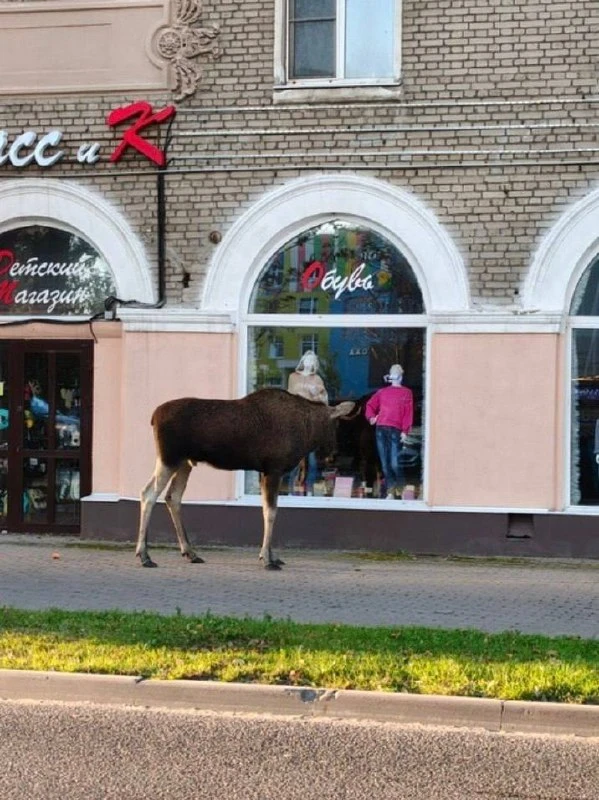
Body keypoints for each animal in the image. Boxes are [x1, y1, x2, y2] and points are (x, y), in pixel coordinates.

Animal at [136, 388, 355, 569]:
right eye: (336, 425)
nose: (333, 454)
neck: (307, 432)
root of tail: (153, 416)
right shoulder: (274, 469)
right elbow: (271, 512)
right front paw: (267, 559)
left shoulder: (264, 472)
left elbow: (267, 510)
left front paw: (272, 556)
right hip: (169, 458)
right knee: (148, 493)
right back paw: (144, 555)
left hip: (185, 463)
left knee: (173, 497)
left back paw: (190, 552)